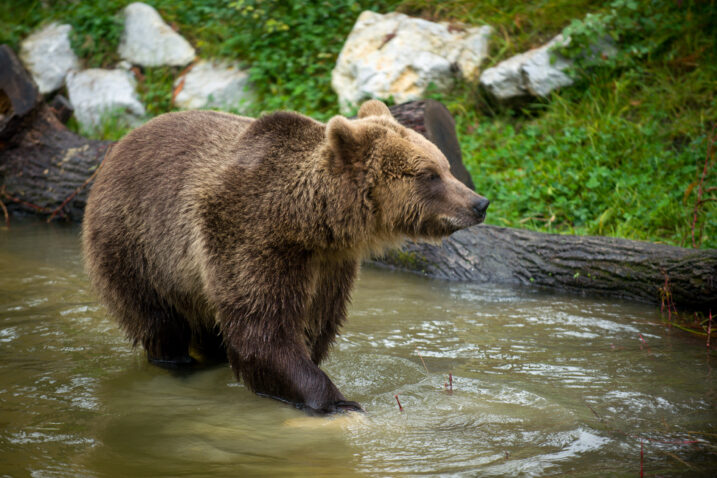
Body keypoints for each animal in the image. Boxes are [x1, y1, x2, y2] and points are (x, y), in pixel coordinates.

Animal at [82, 101, 486, 414]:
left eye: (447, 166)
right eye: (428, 174)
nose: (479, 203)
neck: (306, 220)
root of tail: (117, 148)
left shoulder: (328, 264)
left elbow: (313, 324)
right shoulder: (250, 237)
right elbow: (264, 329)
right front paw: (336, 401)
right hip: (136, 245)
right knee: (159, 320)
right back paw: (179, 364)